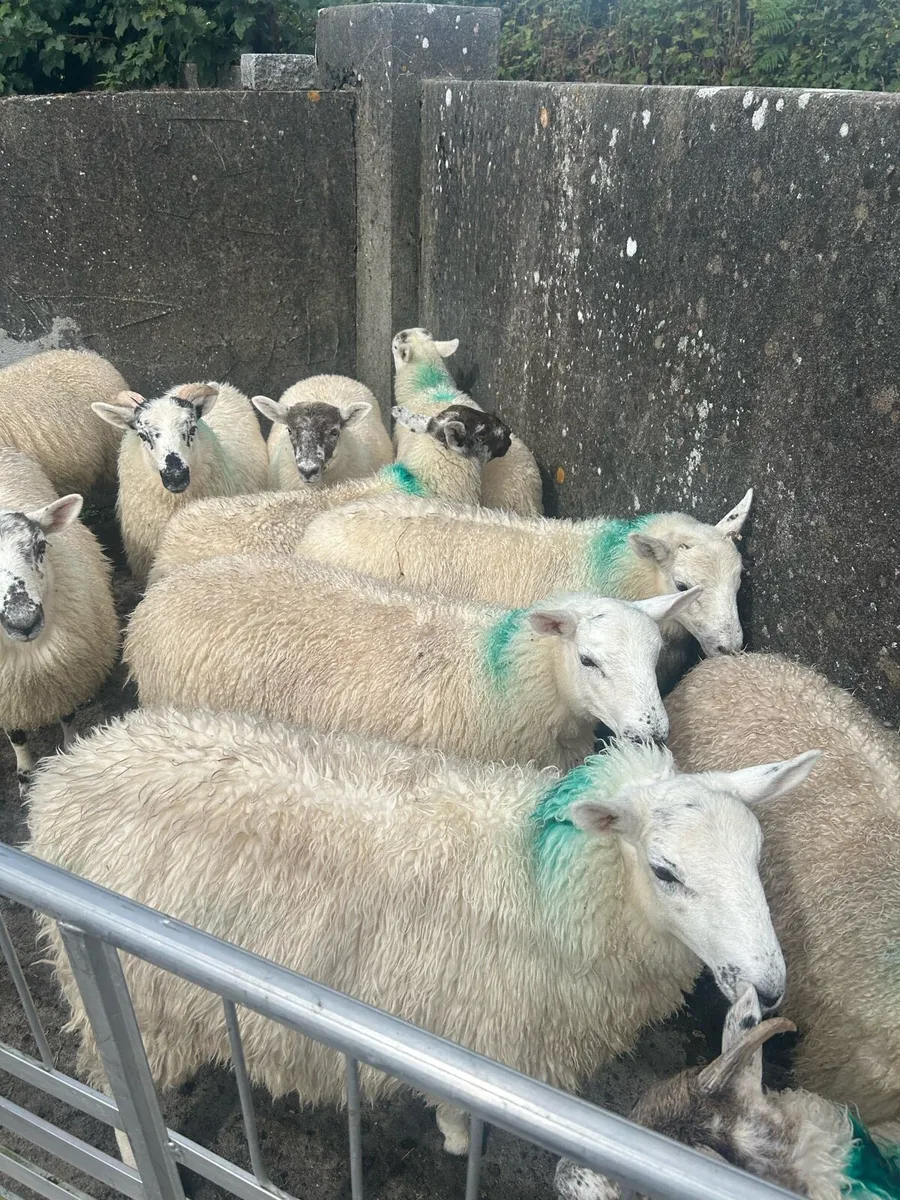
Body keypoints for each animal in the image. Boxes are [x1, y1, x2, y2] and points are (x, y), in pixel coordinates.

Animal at [0, 448, 118, 795]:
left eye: (41, 545)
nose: (23, 621)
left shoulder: (66, 673)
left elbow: (67, 716)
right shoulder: (8, 698)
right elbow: (17, 736)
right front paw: (26, 777)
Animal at [25, 710, 813, 1160]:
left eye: (756, 854)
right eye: (664, 870)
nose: (771, 985)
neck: (543, 884)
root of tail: (69, 770)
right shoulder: (474, 1033)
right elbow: (458, 1111)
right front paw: (460, 1140)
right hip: (118, 985)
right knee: (121, 1098)